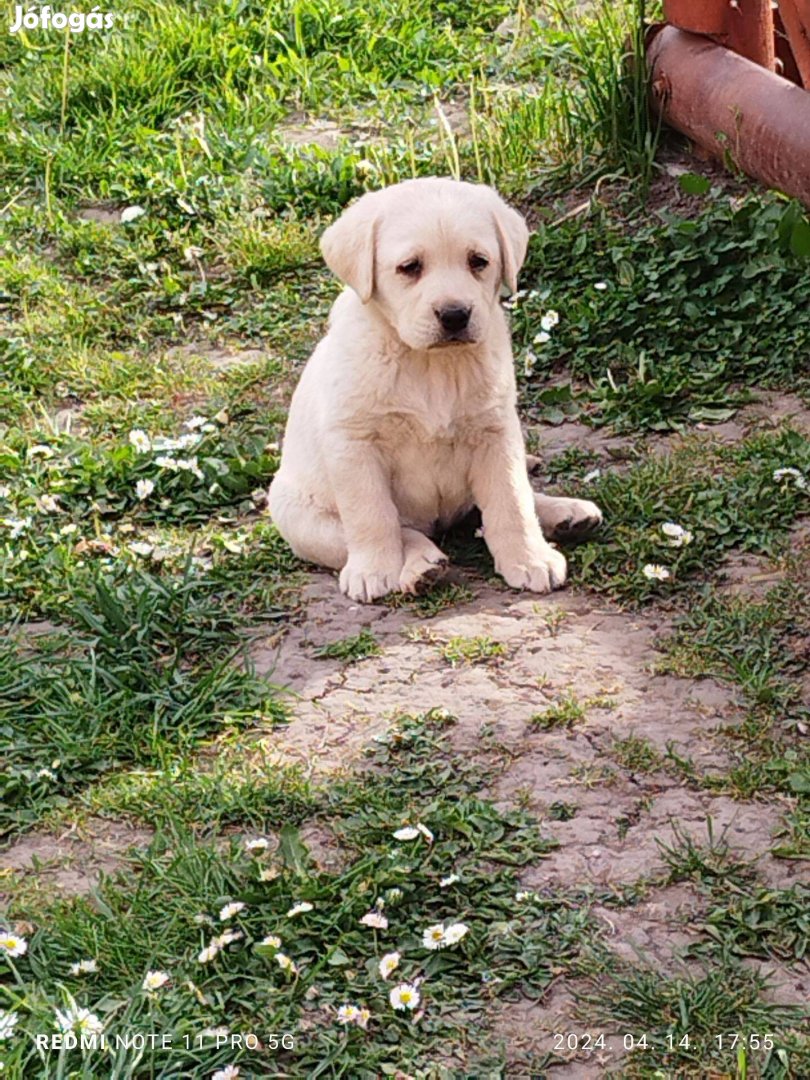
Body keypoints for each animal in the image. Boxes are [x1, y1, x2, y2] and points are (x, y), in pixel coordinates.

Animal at [271, 176, 604, 600]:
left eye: (478, 261)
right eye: (410, 267)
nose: (455, 314)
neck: (430, 363)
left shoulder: (495, 431)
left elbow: (512, 500)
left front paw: (530, 559)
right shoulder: (354, 442)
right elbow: (372, 515)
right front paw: (373, 570)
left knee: (507, 501)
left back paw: (567, 514)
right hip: (300, 517)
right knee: (401, 531)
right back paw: (422, 567)